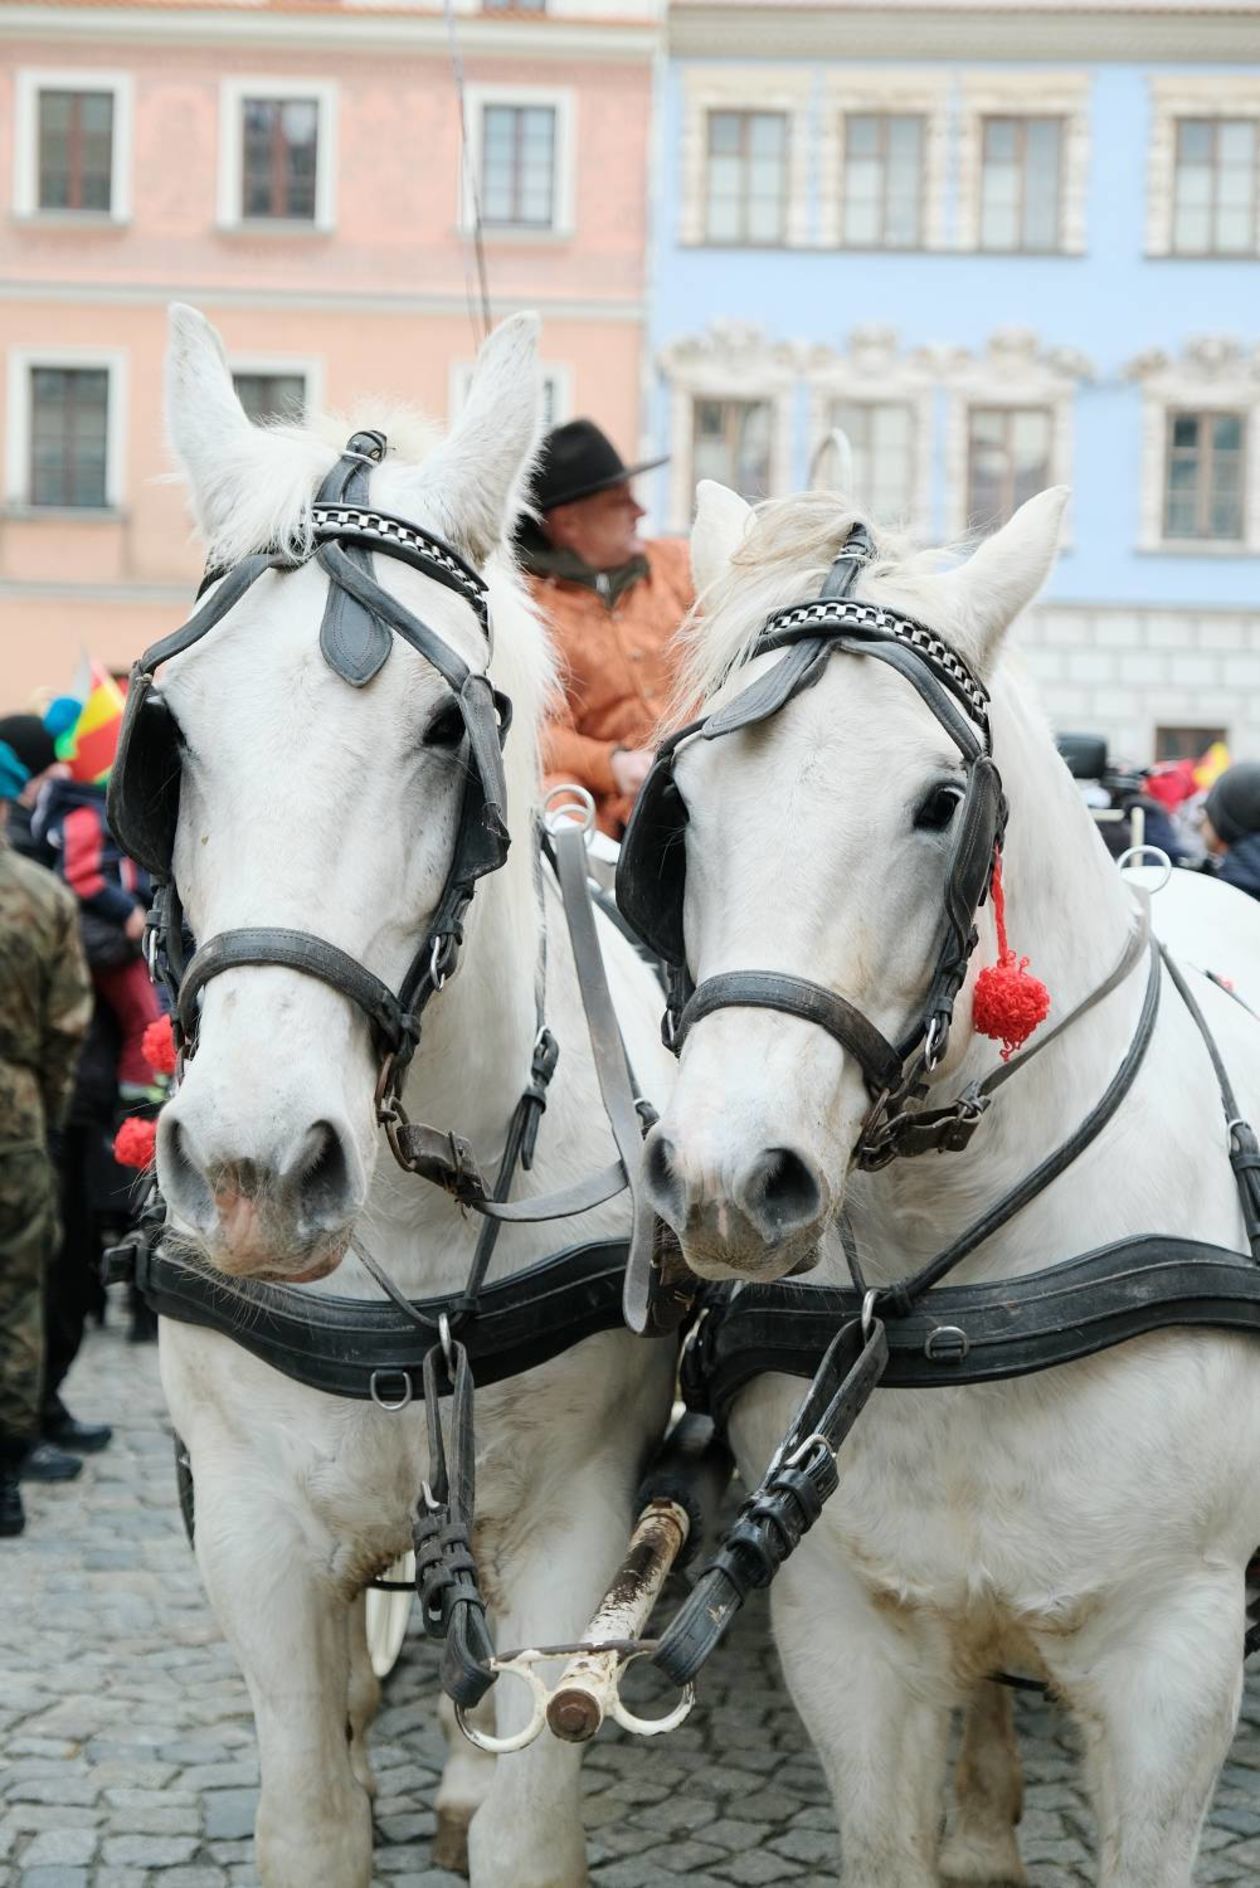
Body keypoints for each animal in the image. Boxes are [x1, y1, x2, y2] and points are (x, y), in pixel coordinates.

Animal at [151, 305, 676, 1888]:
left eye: (448, 733)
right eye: (173, 731)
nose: (255, 1170)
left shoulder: (580, 1524)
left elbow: (525, 1813)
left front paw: (473, 1795)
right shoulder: (249, 1535)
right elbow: (309, 1816)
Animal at [642, 475, 1260, 1888]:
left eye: (939, 804)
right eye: (682, 807)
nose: (725, 1179)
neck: (968, 1288)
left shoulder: (1179, 1658)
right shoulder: (846, 1635)